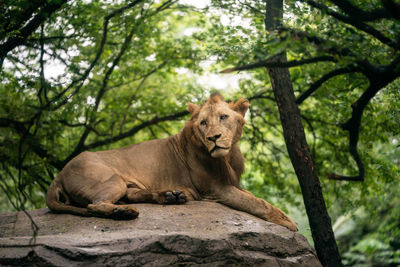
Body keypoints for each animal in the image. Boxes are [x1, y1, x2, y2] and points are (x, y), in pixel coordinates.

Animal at [46, 93, 296, 231]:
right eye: (203, 123)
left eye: (223, 117)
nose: (213, 138)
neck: (227, 156)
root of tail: (58, 174)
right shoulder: (216, 189)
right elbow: (257, 203)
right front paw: (288, 222)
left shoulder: (231, 183)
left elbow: (255, 198)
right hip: (112, 179)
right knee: (94, 206)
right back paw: (124, 213)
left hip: (127, 184)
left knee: (132, 194)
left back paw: (171, 196)